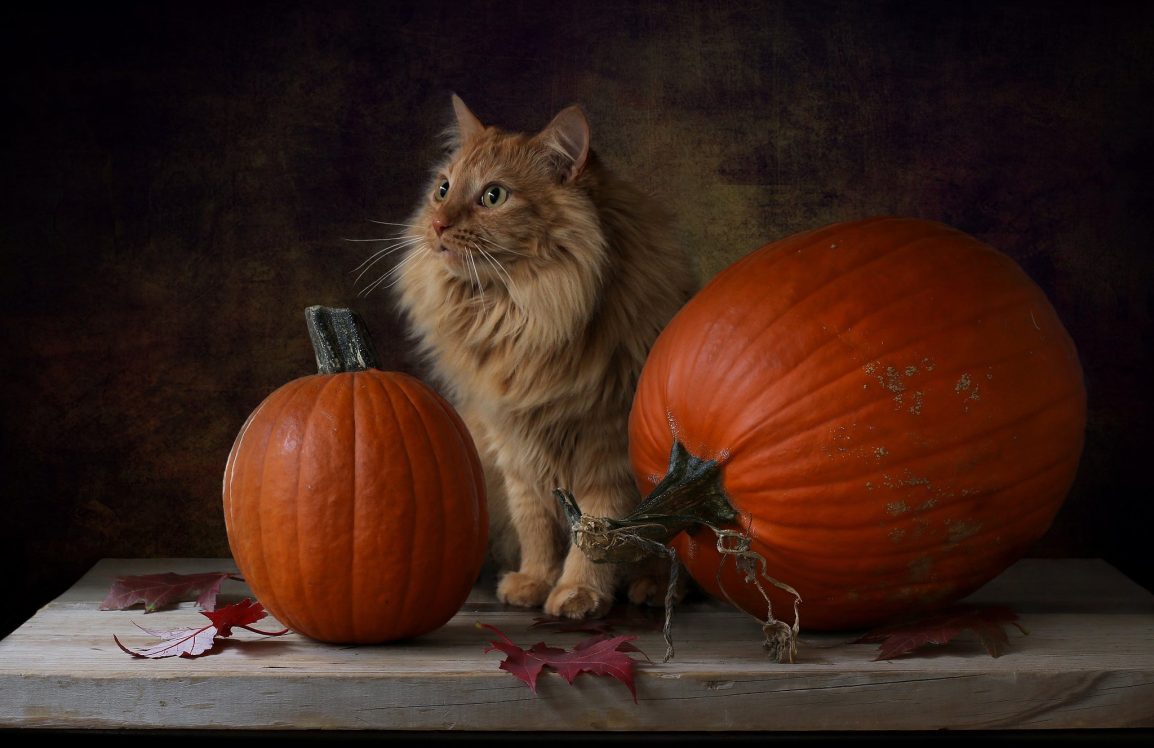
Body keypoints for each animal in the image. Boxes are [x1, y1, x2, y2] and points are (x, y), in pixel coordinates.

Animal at [392, 95, 692, 618]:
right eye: (443, 188)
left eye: (494, 196)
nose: (437, 223)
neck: (520, 316)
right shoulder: (513, 445)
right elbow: (534, 524)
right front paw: (534, 581)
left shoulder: (606, 449)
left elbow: (595, 532)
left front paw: (577, 593)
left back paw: (654, 588)